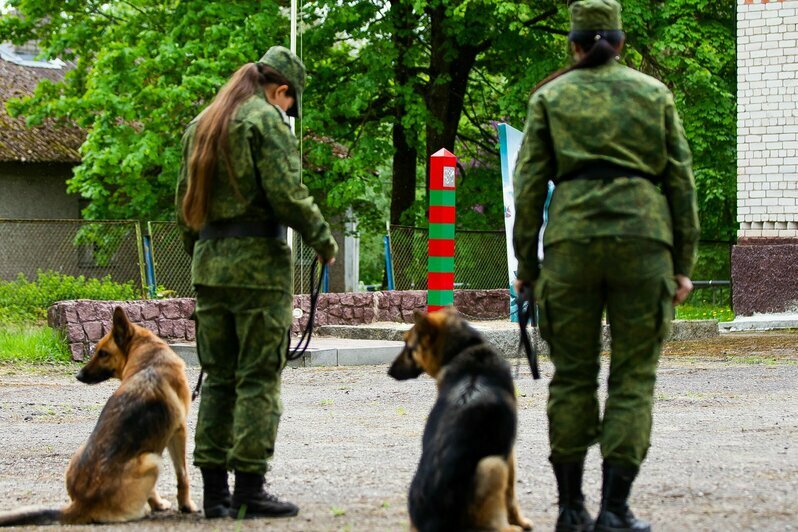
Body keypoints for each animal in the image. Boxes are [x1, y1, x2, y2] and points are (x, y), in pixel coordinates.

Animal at [0, 306, 198, 524]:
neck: (148, 358)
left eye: (103, 353)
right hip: (151, 461)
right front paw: (186, 506)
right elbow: (183, 475)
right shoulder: (179, 430)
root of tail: (80, 504)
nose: (78, 376)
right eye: (97, 351)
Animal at [390, 308, 536, 532]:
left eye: (408, 346)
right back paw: (513, 528)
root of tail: (434, 522)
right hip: (492, 465)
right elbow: (511, 495)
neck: (466, 351)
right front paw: (522, 521)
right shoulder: (508, 453)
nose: (389, 371)